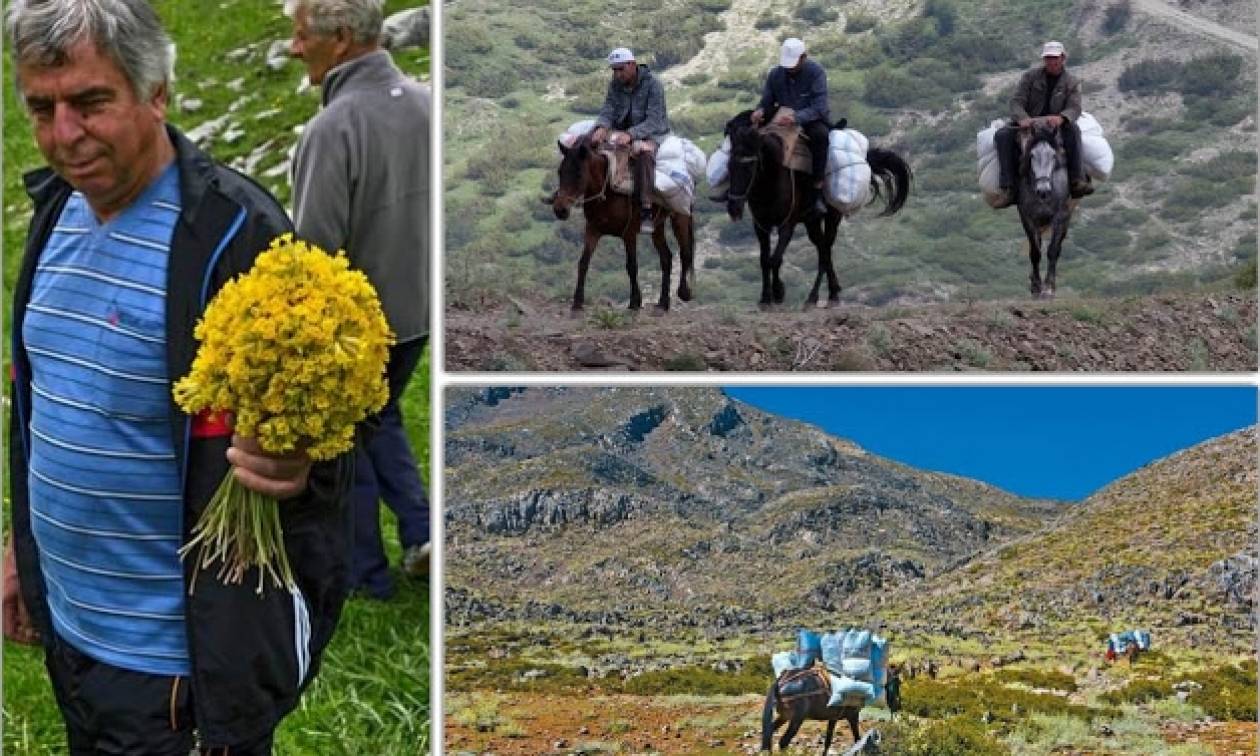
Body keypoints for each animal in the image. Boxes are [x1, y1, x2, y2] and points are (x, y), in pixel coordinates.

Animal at [554, 133, 700, 312]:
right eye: (560, 172)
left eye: (578, 174)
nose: (560, 210)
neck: (608, 190)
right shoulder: (593, 230)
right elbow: (583, 263)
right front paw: (577, 302)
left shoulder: (629, 233)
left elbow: (631, 266)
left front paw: (635, 301)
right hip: (657, 226)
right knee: (666, 257)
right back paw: (663, 302)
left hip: (680, 217)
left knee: (685, 252)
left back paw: (684, 292)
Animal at [725, 108, 912, 307]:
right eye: (729, 166)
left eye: (749, 167)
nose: (733, 208)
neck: (772, 180)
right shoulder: (761, 226)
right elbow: (764, 260)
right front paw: (765, 298)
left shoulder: (787, 225)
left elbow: (775, 259)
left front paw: (778, 292)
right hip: (811, 222)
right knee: (822, 248)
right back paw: (832, 290)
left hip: (832, 217)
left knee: (825, 251)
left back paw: (818, 296)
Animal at [1013, 122, 1073, 297]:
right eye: (1032, 155)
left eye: (1053, 155)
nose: (1043, 190)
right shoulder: (1027, 217)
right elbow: (1035, 251)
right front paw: (1036, 286)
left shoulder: (1060, 216)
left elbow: (1053, 250)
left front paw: (1048, 287)